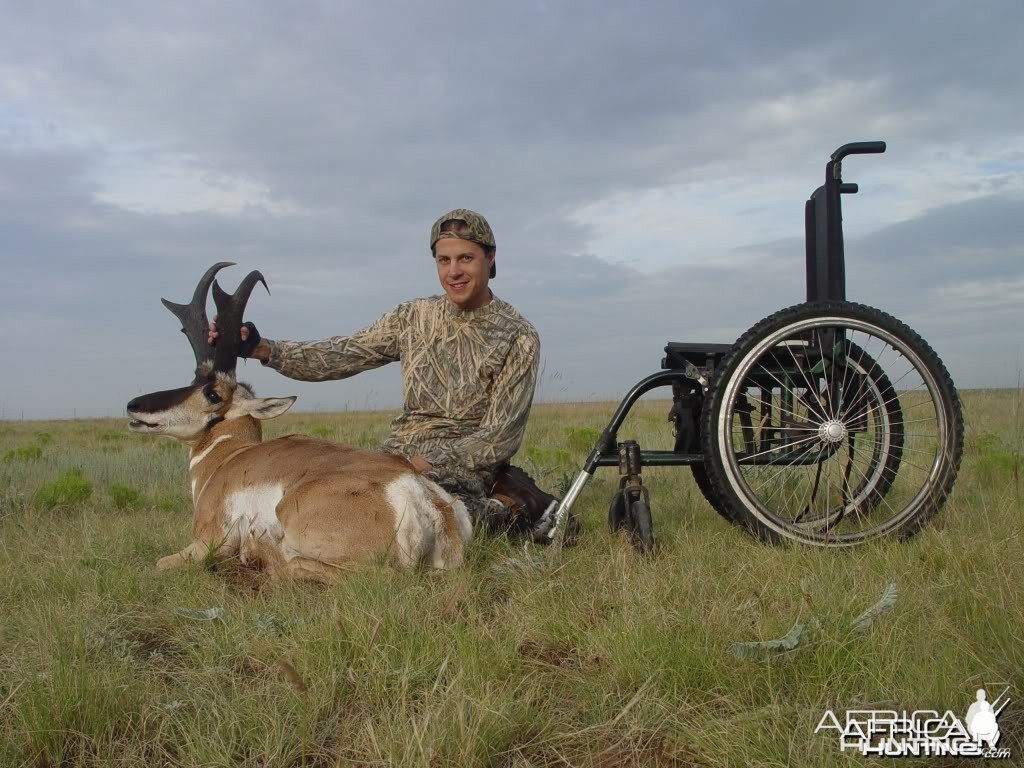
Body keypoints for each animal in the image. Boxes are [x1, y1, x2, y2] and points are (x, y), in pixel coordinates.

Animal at [123, 264, 471, 581]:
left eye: (212, 393)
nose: (132, 405)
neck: (229, 457)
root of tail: (420, 496)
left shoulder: (205, 542)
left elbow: (160, 563)